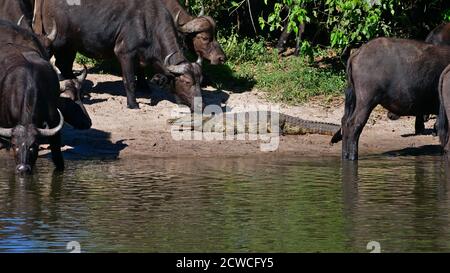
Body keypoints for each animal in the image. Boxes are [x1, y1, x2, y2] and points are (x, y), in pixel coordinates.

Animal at [34, 0, 203, 110]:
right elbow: (129, 81)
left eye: (199, 82)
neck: (148, 22)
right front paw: (133, 104)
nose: (200, 104)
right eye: (187, 82)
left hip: (70, 45)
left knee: (64, 65)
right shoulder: (125, 53)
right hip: (56, 41)